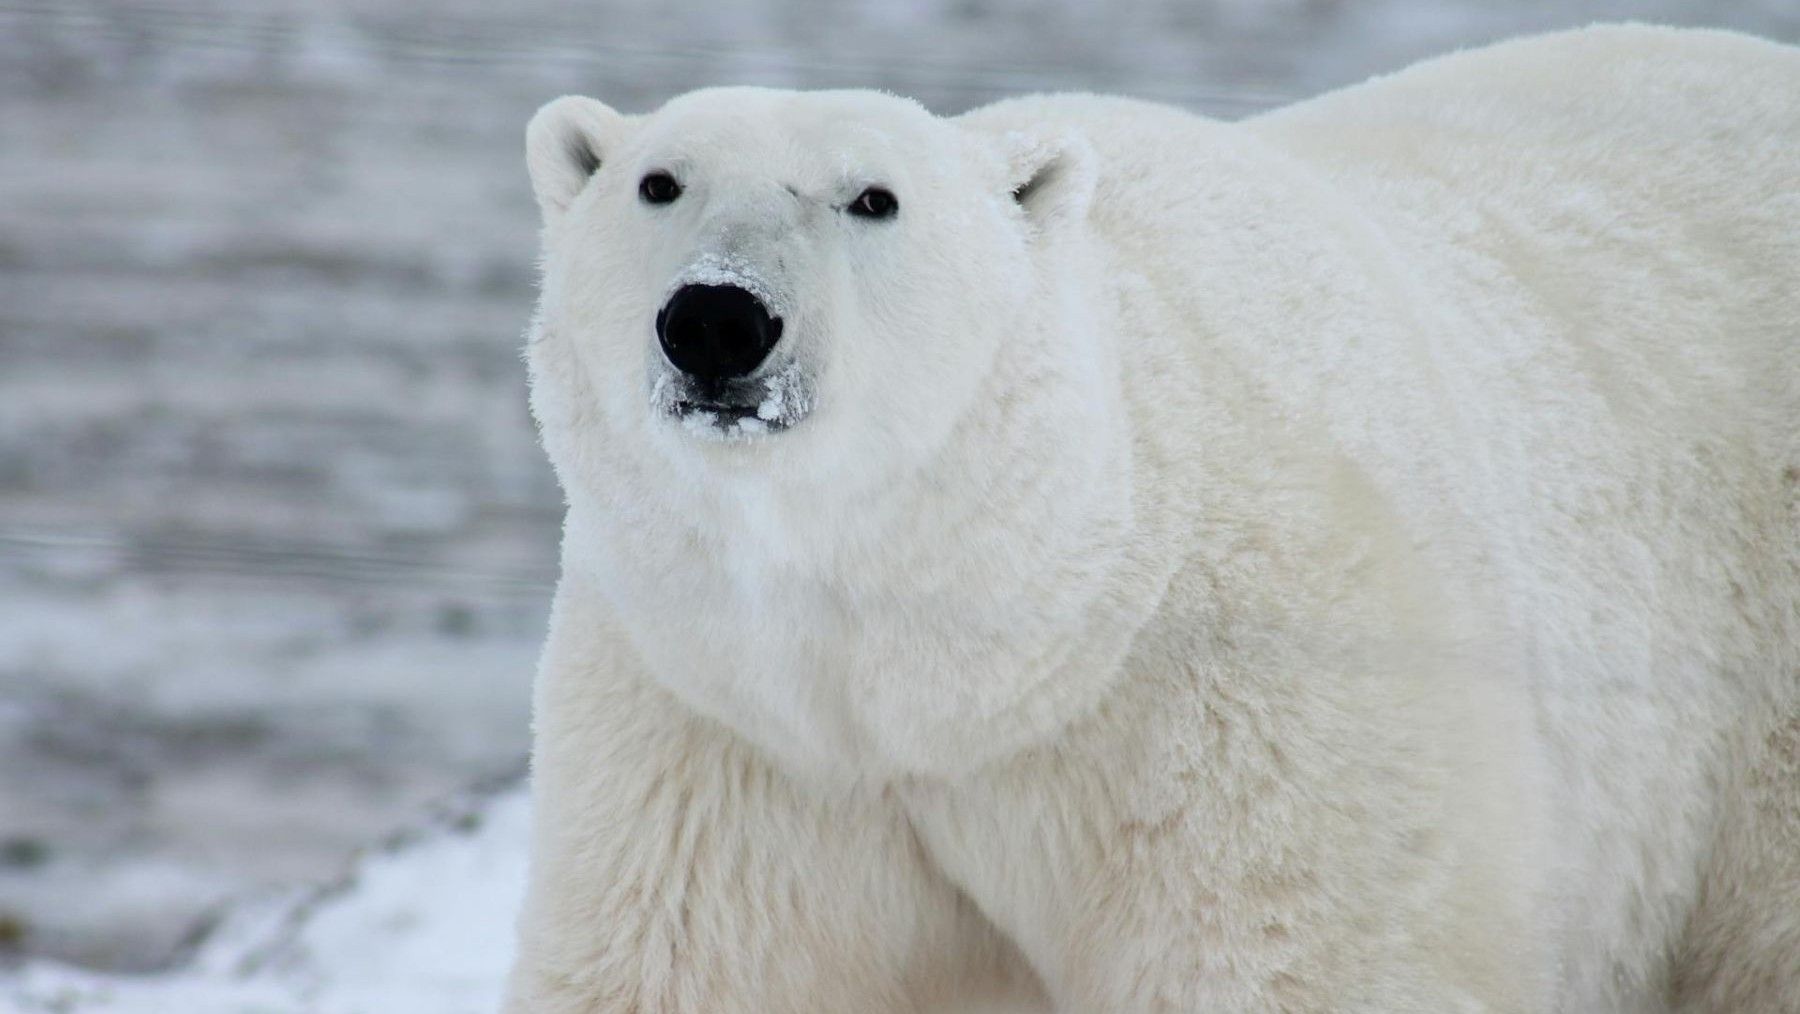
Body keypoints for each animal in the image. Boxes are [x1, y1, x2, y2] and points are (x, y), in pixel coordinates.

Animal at [504, 24, 1799, 1014]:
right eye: (658, 183)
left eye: (873, 198)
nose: (718, 320)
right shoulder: (726, 730)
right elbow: (686, 964)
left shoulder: (1248, 704)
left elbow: (1291, 961)